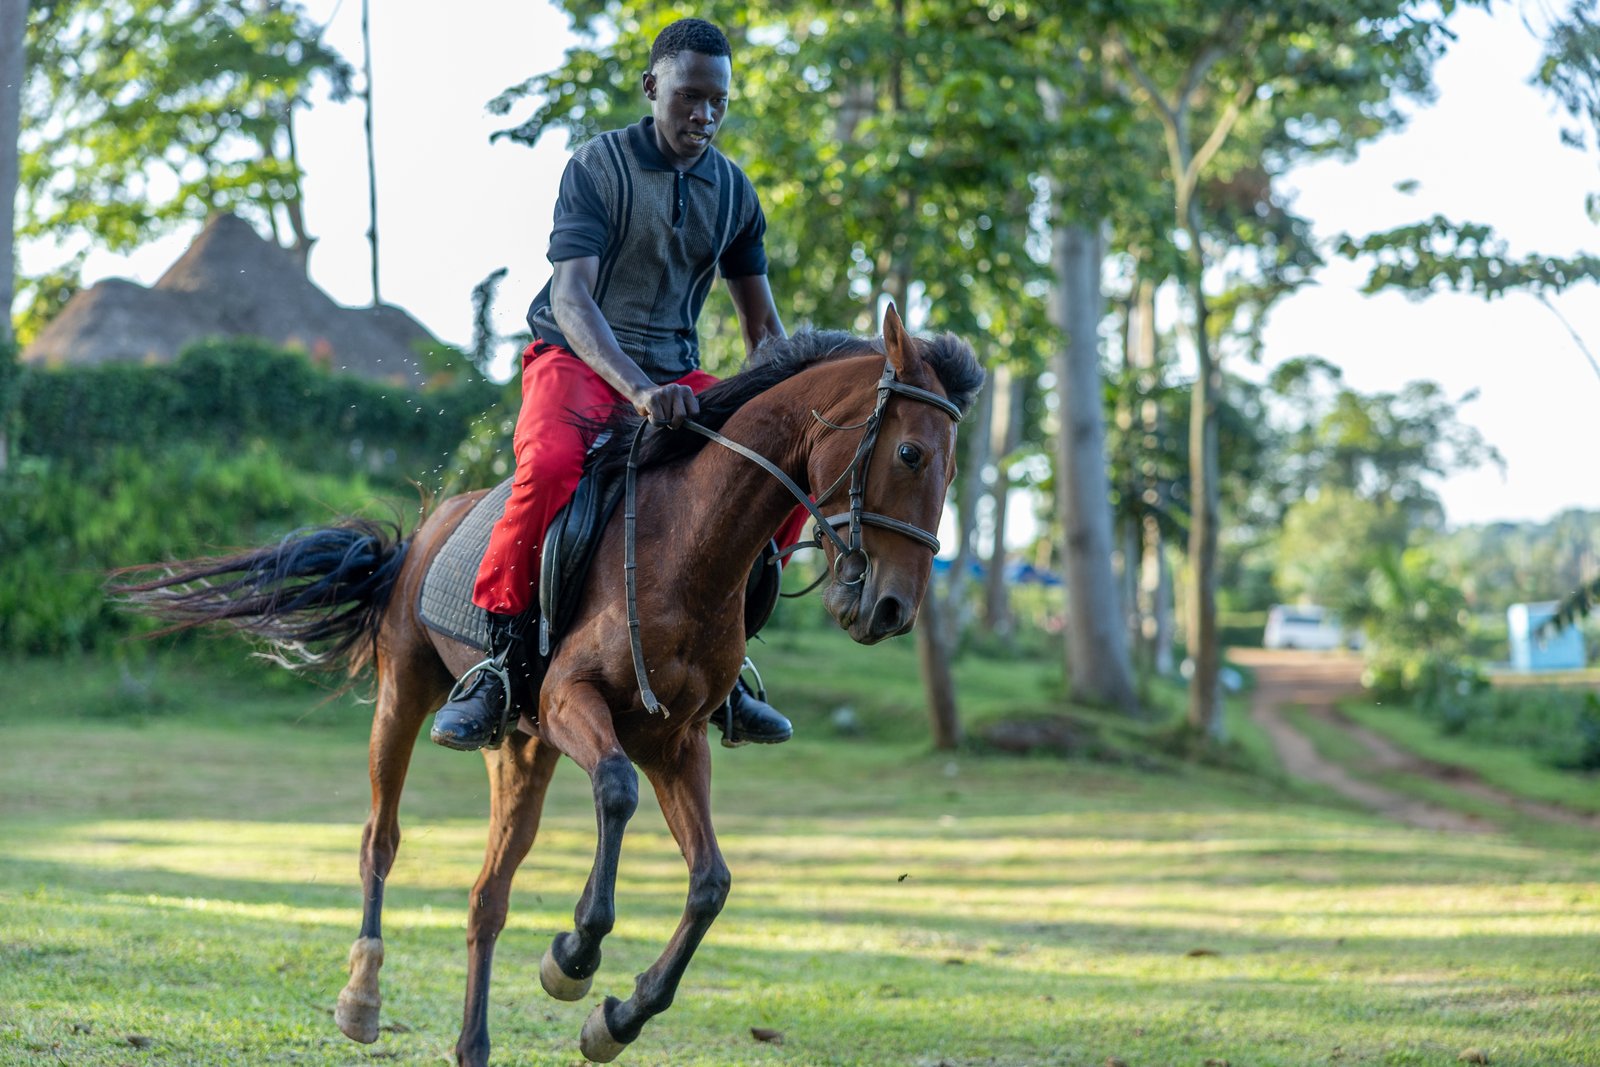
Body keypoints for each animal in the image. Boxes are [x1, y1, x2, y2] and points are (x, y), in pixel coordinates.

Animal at [117, 305, 982, 1065]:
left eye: (951, 465)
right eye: (910, 454)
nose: (893, 608)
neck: (693, 545)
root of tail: (425, 530)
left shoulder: (677, 739)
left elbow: (710, 882)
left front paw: (619, 1017)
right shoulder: (576, 701)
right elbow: (615, 791)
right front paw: (573, 954)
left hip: (521, 751)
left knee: (486, 894)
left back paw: (472, 1044)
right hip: (406, 696)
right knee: (381, 838)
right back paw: (362, 995)